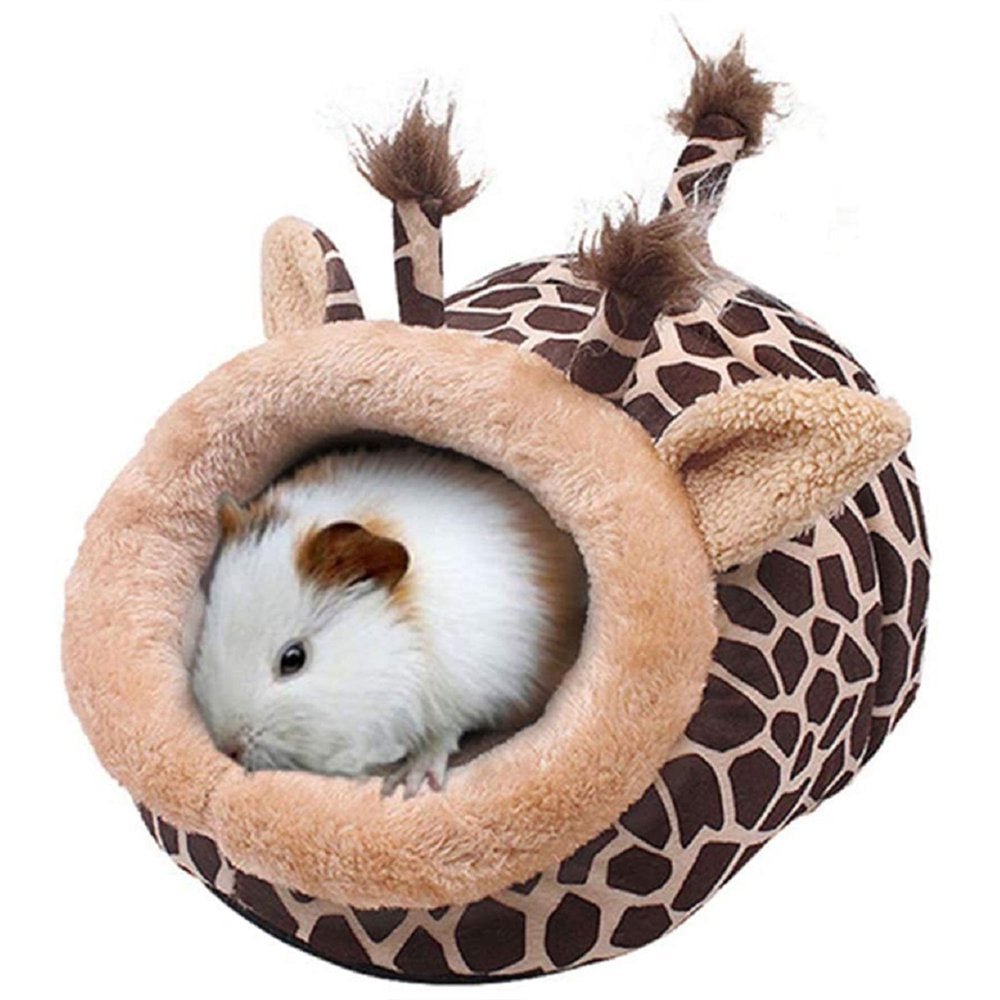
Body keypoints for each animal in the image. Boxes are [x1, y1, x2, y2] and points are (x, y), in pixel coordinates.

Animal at [191, 446, 587, 797]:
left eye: (293, 659)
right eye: (208, 631)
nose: (227, 746)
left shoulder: (473, 686)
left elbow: (444, 731)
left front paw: (407, 785)